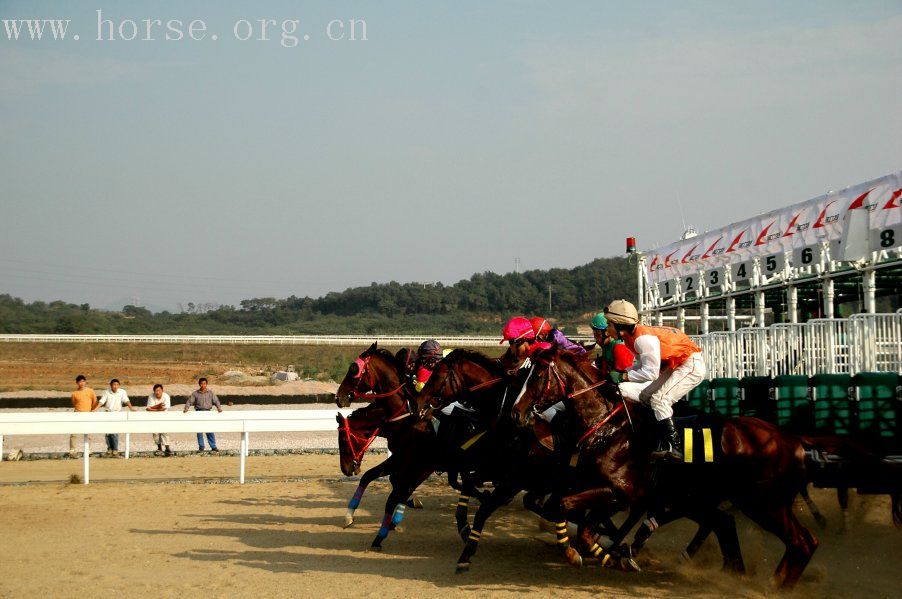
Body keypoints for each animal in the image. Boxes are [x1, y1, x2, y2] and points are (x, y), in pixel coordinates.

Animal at [516, 350, 820, 588]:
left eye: (537, 376)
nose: (517, 412)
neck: (609, 428)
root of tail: (793, 440)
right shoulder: (596, 488)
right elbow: (568, 514)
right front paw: (610, 553)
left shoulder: (621, 494)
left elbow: (568, 509)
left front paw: (591, 552)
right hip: (713, 500)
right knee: (730, 525)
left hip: (764, 504)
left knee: (803, 542)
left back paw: (774, 586)